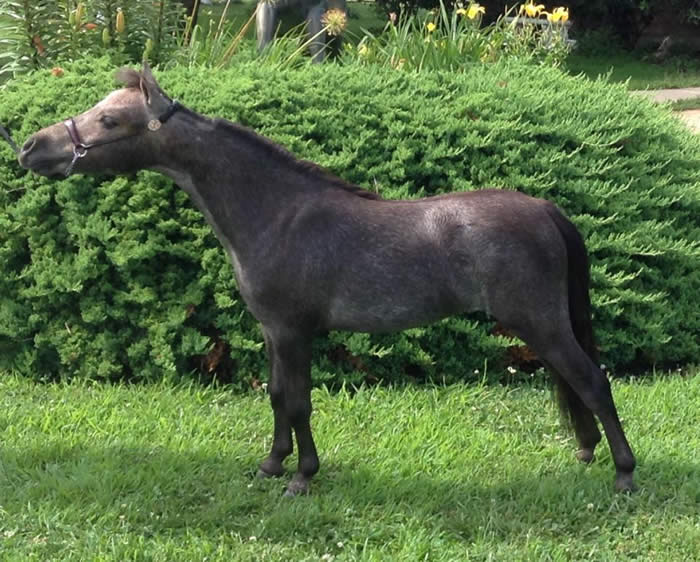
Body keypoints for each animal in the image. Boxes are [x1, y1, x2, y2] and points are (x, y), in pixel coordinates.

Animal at [18, 64, 636, 496]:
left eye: (108, 120)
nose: (30, 147)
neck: (276, 213)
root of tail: (544, 208)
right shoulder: (272, 331)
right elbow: (274, 396)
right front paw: (271, 465)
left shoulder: (294, 332)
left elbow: (298, 403)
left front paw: (302, 477)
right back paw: (588, 453)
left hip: (542, 323)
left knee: (593, 381)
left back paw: (624, 474)